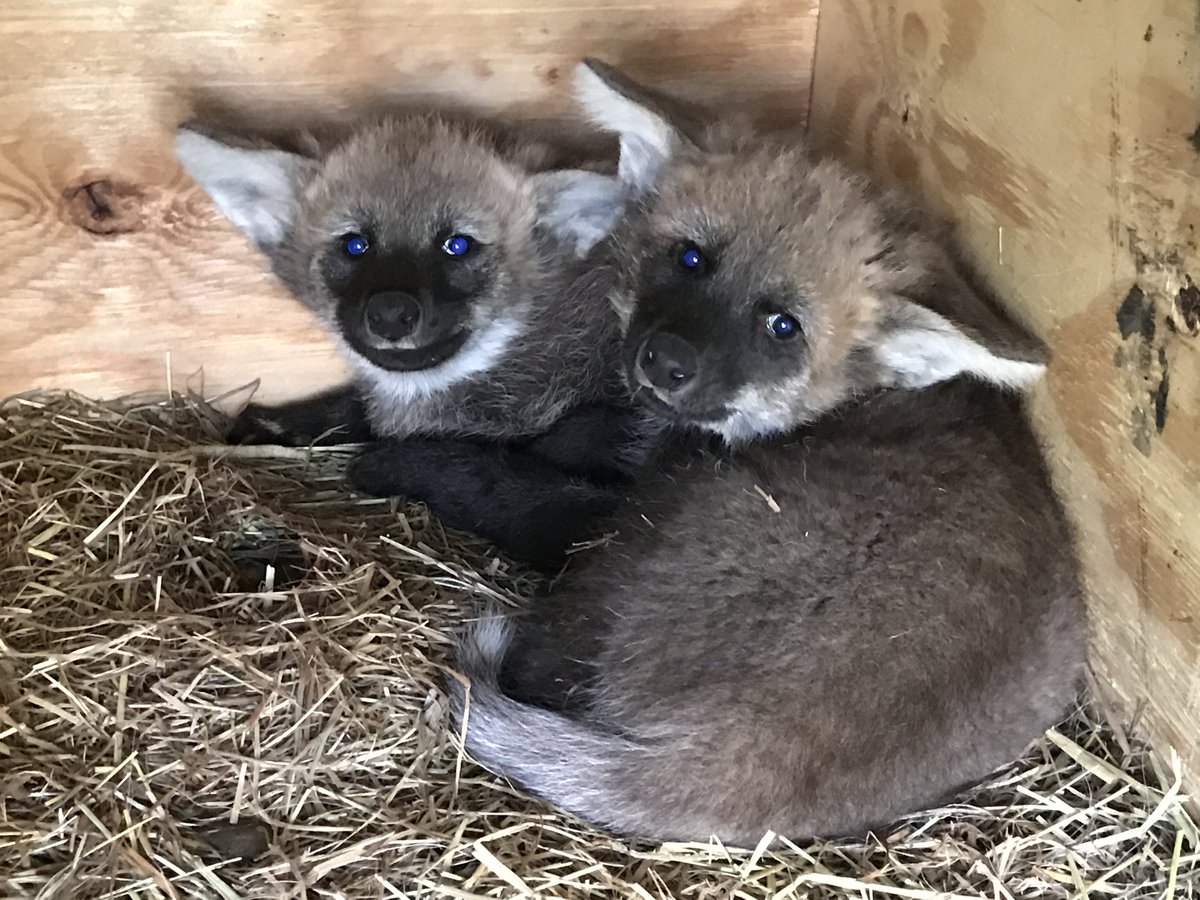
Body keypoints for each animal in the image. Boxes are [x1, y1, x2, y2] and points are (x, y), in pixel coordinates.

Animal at [452, 60, 1088, 847]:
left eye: (782, 325)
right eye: (690, 257)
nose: (664, 362)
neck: (854, 403)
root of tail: (730, 762)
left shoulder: (638, 500)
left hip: (636, 550)